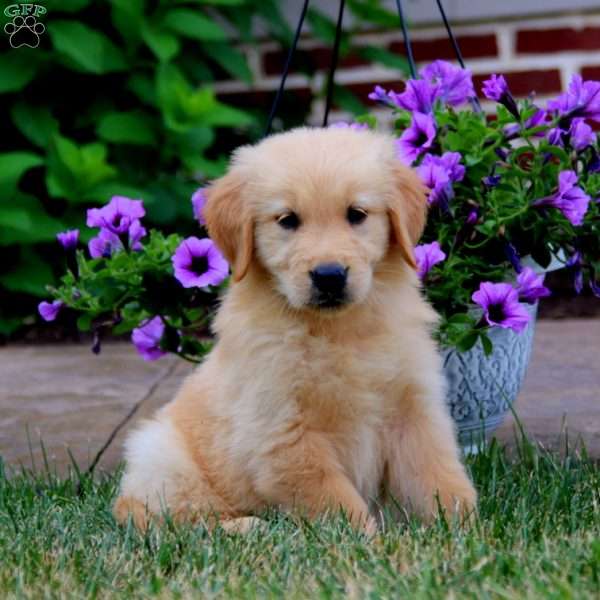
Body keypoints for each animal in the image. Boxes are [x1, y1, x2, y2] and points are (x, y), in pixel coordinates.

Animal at [113, 127, 478, 536]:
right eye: (287, 220)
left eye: (356, 215)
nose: (329, 276)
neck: (339, 330)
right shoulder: (284, 433)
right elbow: (339, 504)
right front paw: (377, 544)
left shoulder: (413, 413)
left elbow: (438, 478)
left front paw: (468, 530)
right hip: (160, 456)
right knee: (179, 519)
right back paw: (249, 527)